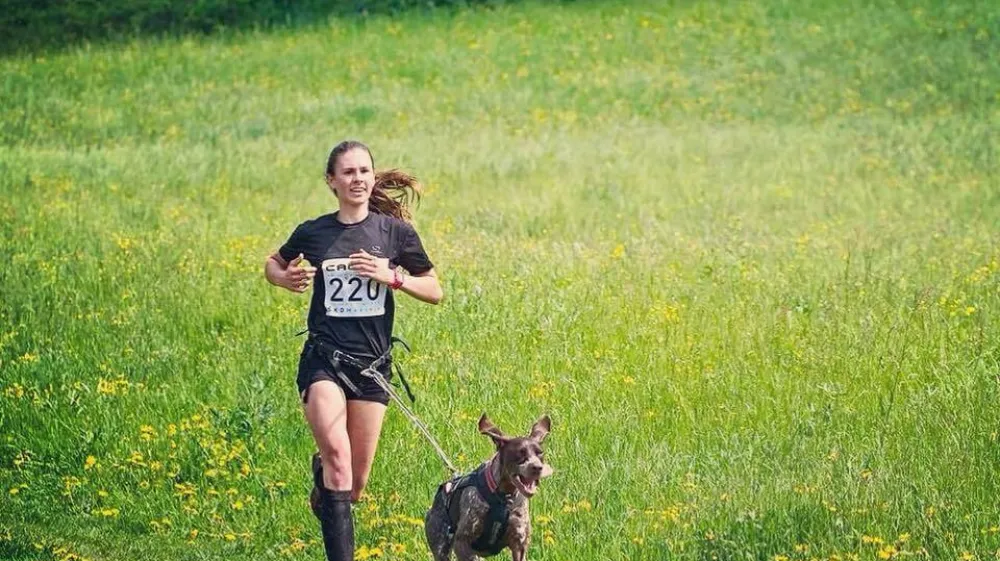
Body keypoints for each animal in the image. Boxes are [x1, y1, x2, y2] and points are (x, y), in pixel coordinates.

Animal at [424, 412, 556, 560]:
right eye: (520, 453)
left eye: (540, 453)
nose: (537, 467)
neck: (503, 497)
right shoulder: (463, 542)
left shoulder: (519, 544)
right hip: (441, 546)